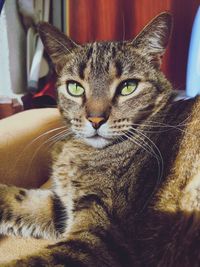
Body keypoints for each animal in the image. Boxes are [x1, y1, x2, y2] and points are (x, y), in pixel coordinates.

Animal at [0, 12, 200, 267]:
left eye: (128, 87)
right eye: (75, 88)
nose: (95, 119)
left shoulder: (99, 240)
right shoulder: (62, 207)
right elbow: (19, 198)